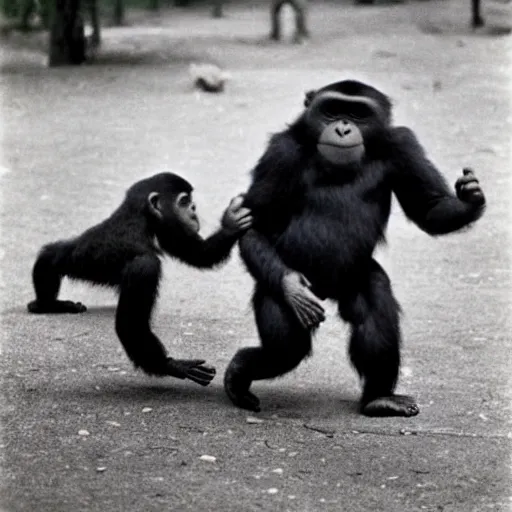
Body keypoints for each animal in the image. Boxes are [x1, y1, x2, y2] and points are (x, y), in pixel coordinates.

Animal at [28, 174, 252, 386]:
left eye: (190, 201)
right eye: (184, 201)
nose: (193, 208)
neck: (140, 217)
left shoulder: (165, 228)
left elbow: (198, 253)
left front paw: (231, 223)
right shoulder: (145, 267)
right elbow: (130, 325)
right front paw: (172, 365)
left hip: (78, 257)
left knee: (52, 255)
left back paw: (47, 304)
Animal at [225, 79, 488, 416]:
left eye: (358, 114)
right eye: (332, 109)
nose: (342, 127)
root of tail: (326, 290)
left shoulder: (404, 145)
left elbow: (428, 208)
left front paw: (470, 198)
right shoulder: (279, 155)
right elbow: (255, 223)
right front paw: (293, 288)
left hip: (356, 278)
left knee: (373, 314)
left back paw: (379, 397)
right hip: (271, 282)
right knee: (286, 346)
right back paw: (240, 370)